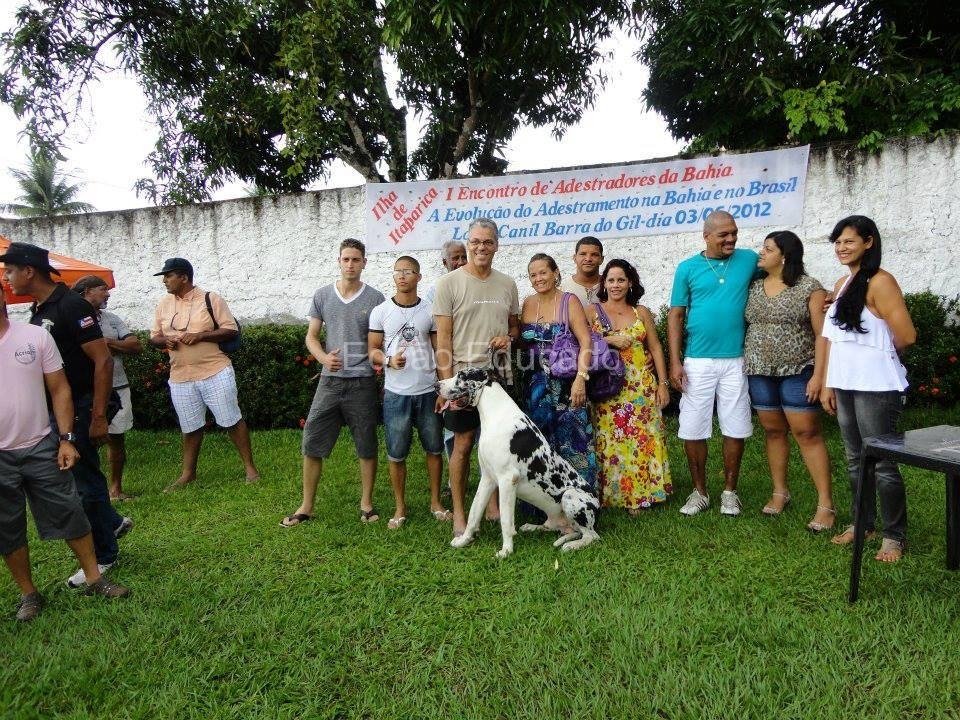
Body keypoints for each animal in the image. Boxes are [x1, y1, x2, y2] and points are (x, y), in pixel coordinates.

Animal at [437, 366, 600, 558]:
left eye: (462, 376)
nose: (436, 385)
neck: (495, 414)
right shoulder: (487, 478)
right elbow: (474, 513)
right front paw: (464, 540)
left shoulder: (507, 480)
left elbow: (506, 521)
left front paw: (506, 550)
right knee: (556, 527)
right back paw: (534, 527)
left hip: (570, 495)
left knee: (591, 536)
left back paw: (572, 545)